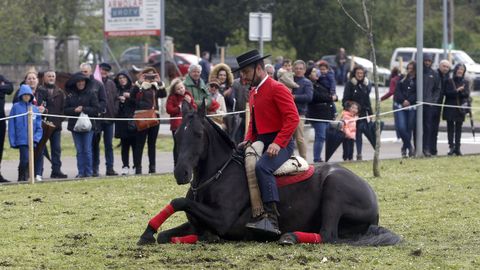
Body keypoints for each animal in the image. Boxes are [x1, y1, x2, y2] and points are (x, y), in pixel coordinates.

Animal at [139, 102, 402, 246]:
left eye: (198, 134)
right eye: (177, 134)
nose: (180, 172)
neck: (216, 175)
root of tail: (372, 196)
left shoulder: (222, 218)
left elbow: (179, 201)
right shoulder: (196, 222)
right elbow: (168, 232)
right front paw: (150, 232)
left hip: (334, 189)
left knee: (327, 235)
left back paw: (290, 236)